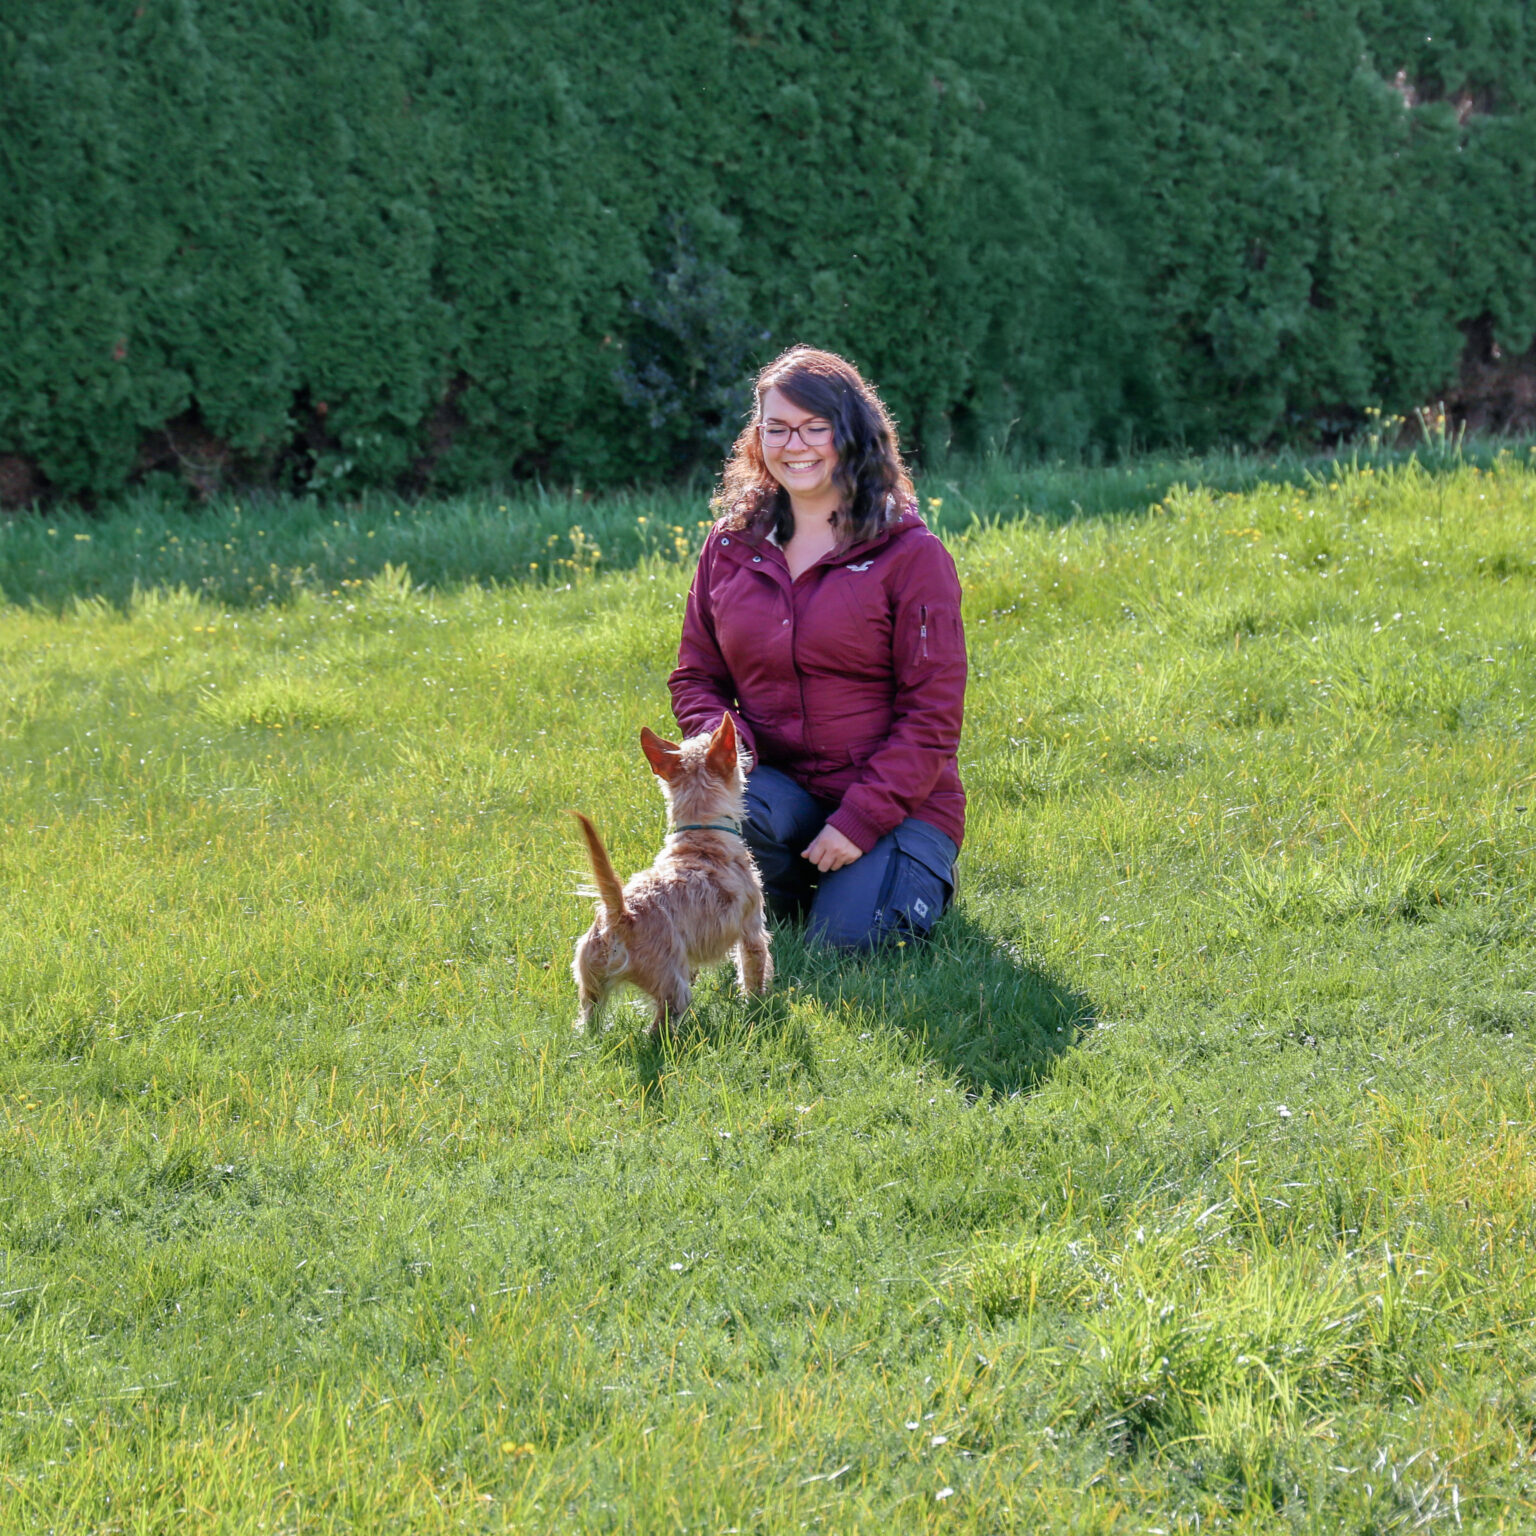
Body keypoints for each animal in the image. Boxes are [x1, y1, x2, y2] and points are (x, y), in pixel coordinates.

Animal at [571, 712, 774, 1038]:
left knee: (589, 1021)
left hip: (590, 984)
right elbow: (754, 975)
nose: (745, 743)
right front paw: (758, 1007)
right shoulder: (752, 932)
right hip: (671, 987)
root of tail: (621, 916)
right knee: (659, 1027)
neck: (703, 834)